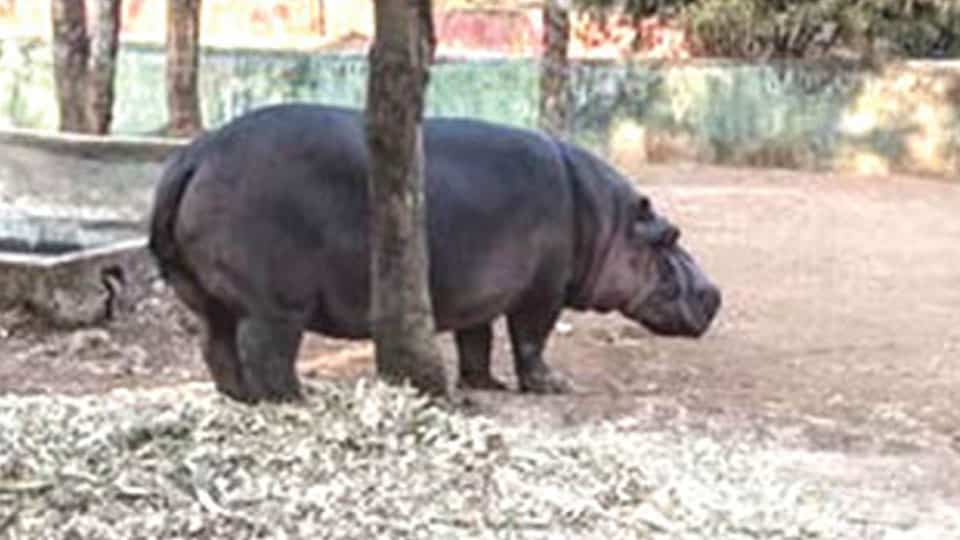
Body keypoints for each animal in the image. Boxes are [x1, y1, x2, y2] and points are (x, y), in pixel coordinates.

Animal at [148, 103, 721, 404]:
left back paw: (238, 397)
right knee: (265, 352)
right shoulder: (542, 293)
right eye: (671, 236)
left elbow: (476, 341)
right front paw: (555, 386)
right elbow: (530, 340)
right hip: (277, 305)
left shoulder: (483, 293)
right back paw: (296, 399)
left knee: (217, 346)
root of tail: (196, 154)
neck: (605, 220)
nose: (715, 293)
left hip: (205, 296)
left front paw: (485, 385)